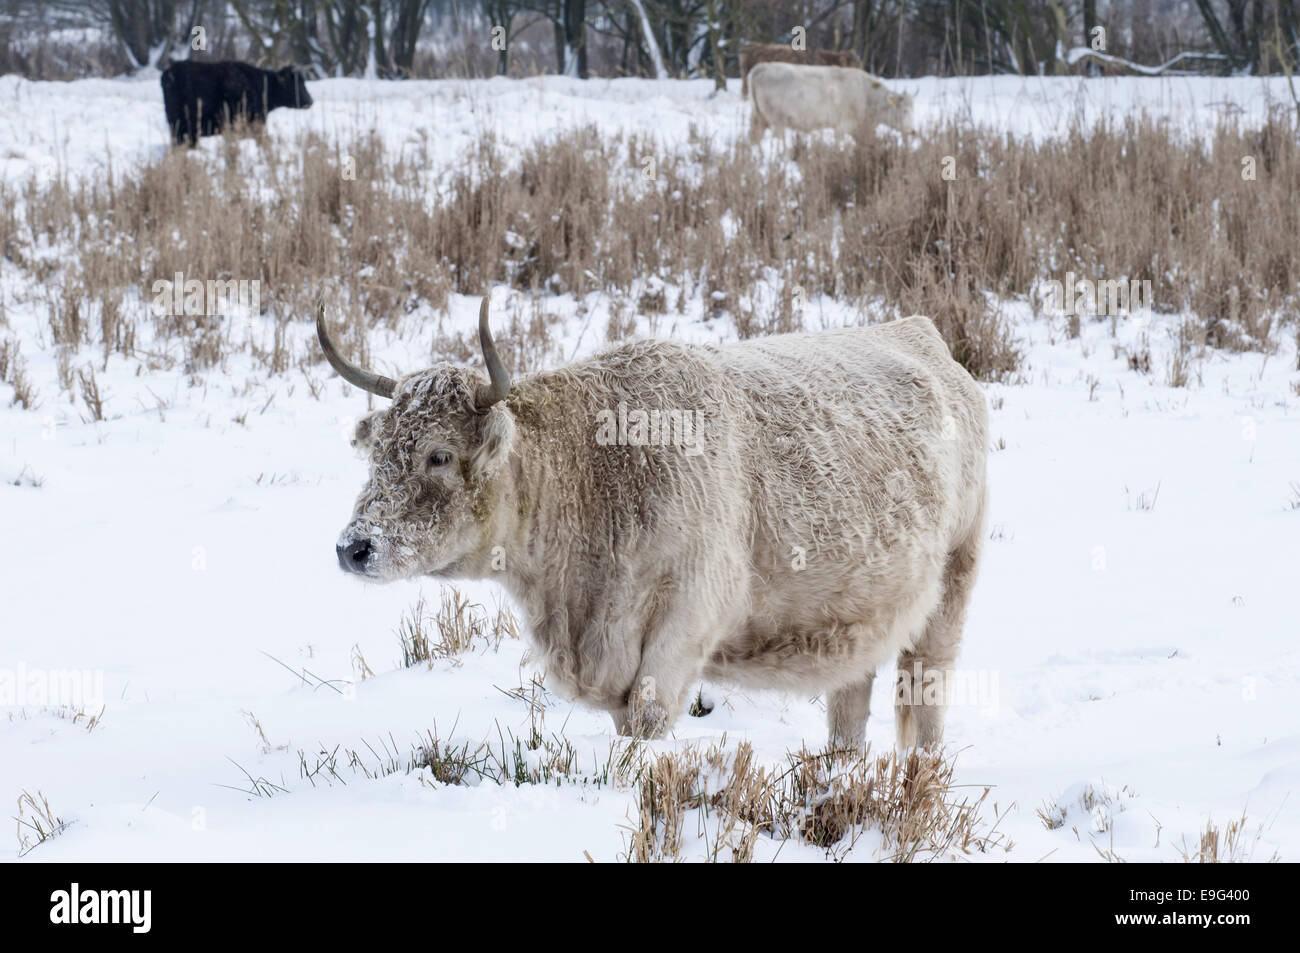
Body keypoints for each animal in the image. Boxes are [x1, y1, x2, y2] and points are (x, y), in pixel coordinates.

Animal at [318, 297, 987, 749]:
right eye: (378, 451)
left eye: (438, 455)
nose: (354, 547)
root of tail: (920, 332)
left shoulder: (681, 628)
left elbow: (647, 728)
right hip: (863, 613)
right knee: (850, 710)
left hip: (951, 593)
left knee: (925, 702)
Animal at [748, 61, 913, 142]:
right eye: (904, 110)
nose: (912, 131)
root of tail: (763, 66)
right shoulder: (843, 126)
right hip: (777, 121)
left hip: (758, 118)